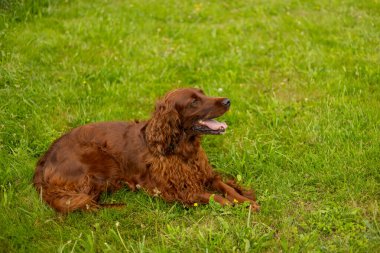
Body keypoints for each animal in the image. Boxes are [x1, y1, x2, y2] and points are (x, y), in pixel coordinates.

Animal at [32, 88, 260, 212]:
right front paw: (237, 206)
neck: (181, 149)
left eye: (203, 93)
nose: (228, 101)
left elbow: (228, 188)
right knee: (86, 202)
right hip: (101, 163)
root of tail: (45, 159)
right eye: (194, 101)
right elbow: (217, 197)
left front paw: (247, 202)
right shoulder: (178, 190)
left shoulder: (205, 174)